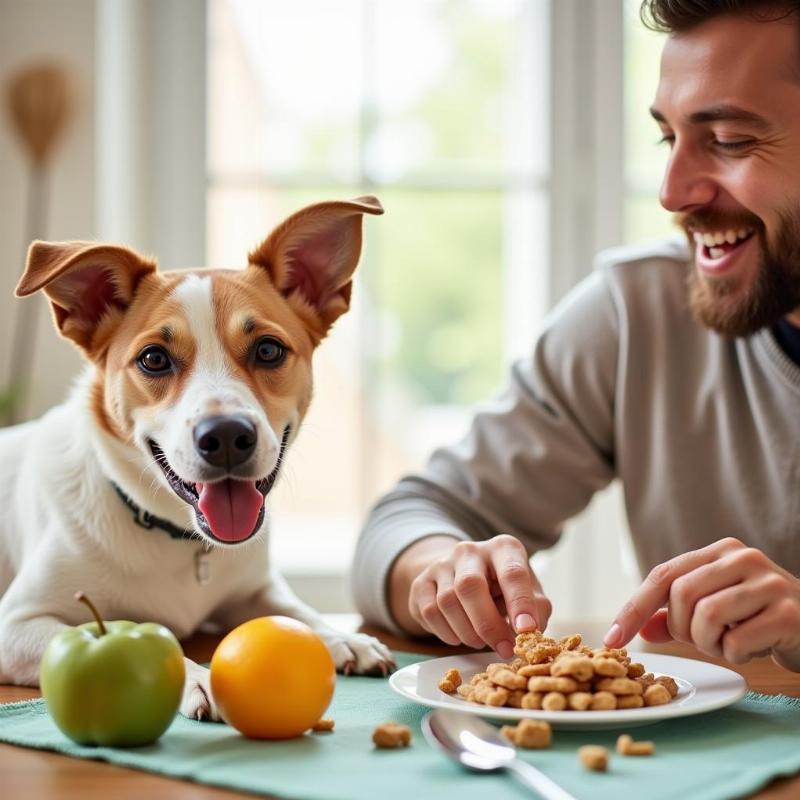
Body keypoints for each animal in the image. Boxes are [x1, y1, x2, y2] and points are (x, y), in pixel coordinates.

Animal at [0, 194, 396, 720]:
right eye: (153, 359)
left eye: (268, 350)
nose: (226, 436)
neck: (180, 539)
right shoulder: (16, 623)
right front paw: (196, 676)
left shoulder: (255, 589)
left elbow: (297, 611)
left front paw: (341, 636)